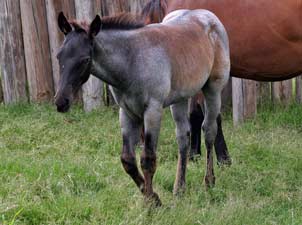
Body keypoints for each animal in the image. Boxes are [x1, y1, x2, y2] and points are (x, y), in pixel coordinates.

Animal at [54, 9, 229, 205]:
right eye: (59, 56)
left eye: (84, 60)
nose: (61, 101)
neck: (132, 62)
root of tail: (208, 15)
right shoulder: (127, 112)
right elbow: (128, 160)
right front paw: (151, 197)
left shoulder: (152, 110)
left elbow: (148, 159)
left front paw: (153, 202)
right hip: (180, 98)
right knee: (183, 136)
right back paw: (179, 188)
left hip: (213, 88)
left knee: (209, 130)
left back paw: (209, 182)